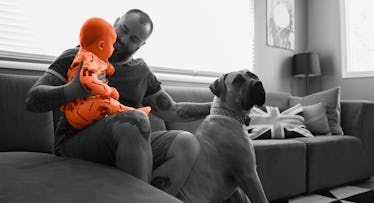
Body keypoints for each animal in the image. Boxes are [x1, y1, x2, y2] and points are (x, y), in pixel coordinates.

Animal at [177, 70, 268, 203]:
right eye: (237, 80)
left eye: (253, 75)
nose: (258, 83)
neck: (227, 113)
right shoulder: (249, 174)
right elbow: (261, 198)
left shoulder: (238, 189)